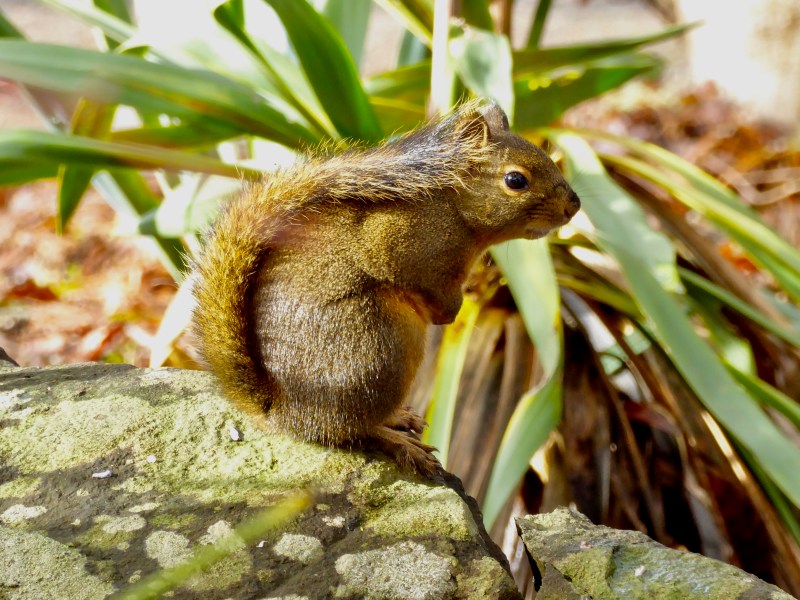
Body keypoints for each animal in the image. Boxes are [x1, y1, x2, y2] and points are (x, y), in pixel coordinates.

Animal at [191, 101, 580, 476]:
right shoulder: (392, 241)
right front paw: (448, 311)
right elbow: (413, 278)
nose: (574, 205)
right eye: (515, 180)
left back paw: (399, 418)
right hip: (376, 352)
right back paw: (399, 442)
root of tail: (284, 412)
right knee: (349, 429)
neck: (455, 213)